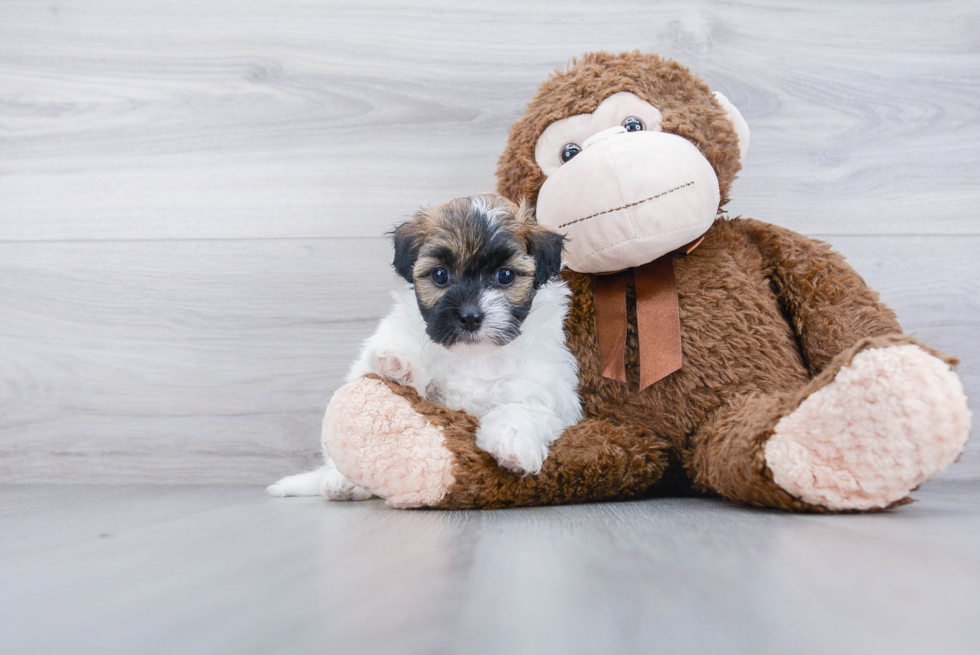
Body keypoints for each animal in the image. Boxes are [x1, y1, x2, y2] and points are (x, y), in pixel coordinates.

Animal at [268, 195, 580, 502]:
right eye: (440, 276)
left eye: (505, 276)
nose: (469, 316)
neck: (472, 356)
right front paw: (396, 366)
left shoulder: (545, 387)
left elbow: (521, 408)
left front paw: (512, 442)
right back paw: (342, 482)